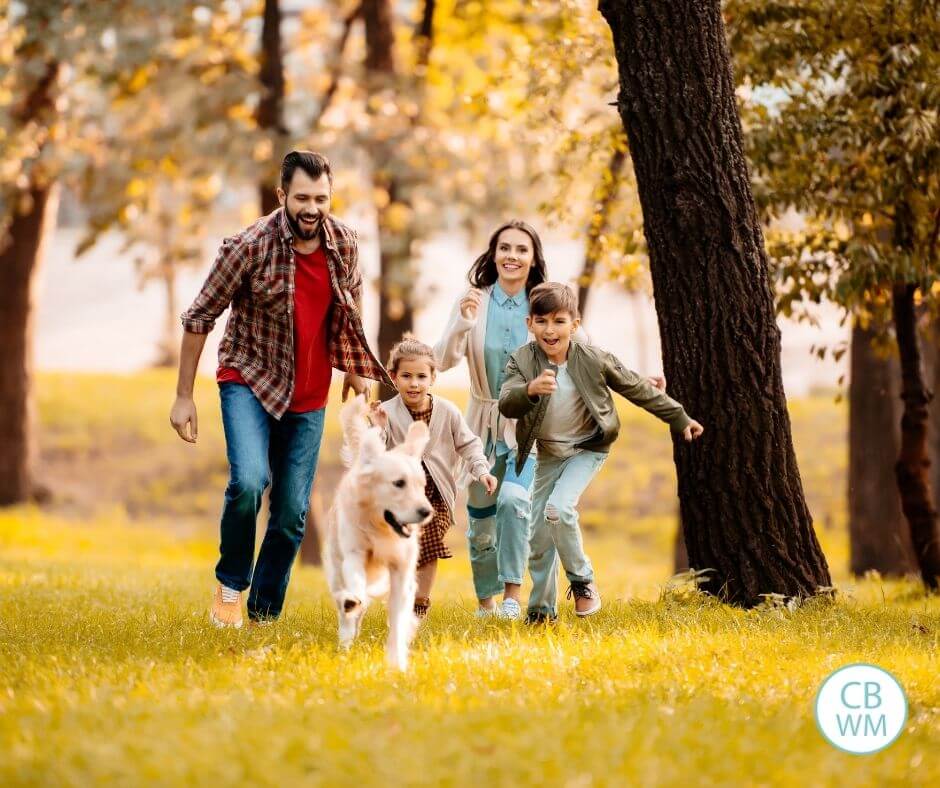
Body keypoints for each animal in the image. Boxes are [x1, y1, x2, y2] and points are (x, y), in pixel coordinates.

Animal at [324, 394, 434, 672]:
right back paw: (346, 638)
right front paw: (351, 604)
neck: (380, 529)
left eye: (422, 485)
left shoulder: (402, 570)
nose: (426, 512)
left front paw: (397, 664)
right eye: (398, 483)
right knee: (344, 602)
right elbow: (354, 588)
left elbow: (398, 620)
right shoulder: (354, 554)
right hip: (335, 564)